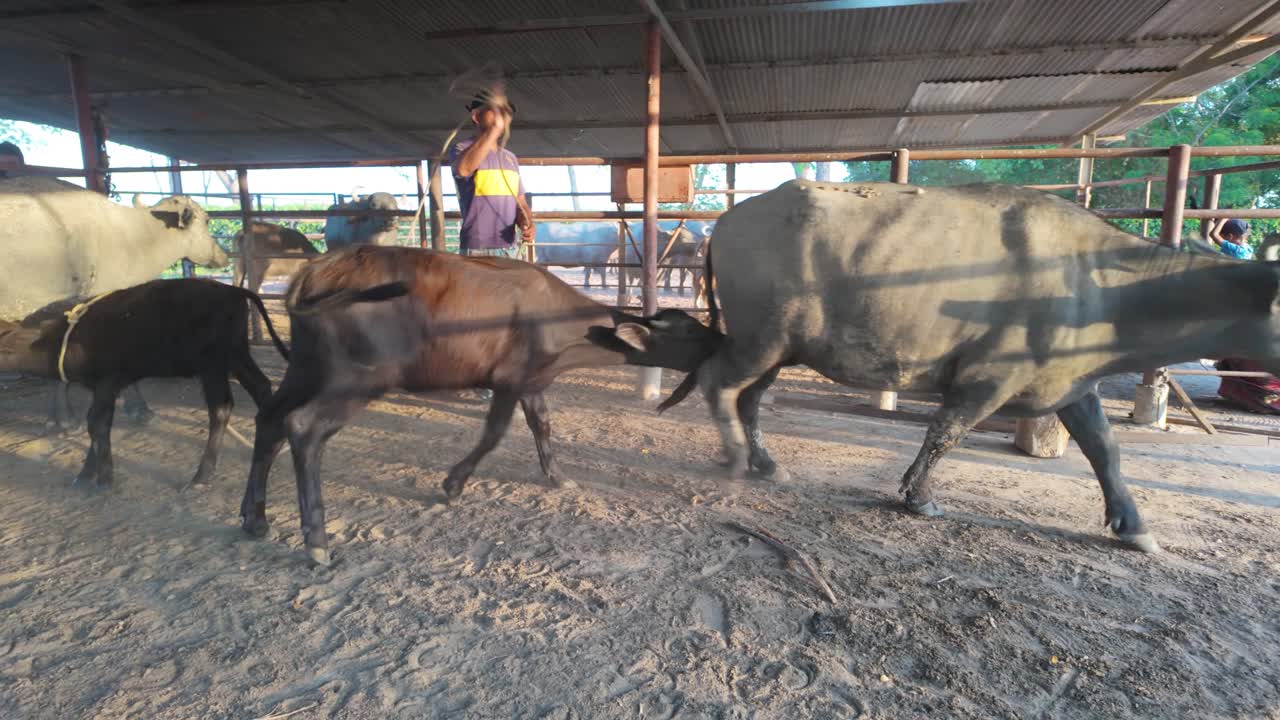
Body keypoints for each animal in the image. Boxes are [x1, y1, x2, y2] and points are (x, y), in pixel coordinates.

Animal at [0, 279, 288, 489]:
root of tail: (233, 290)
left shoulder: (108, 383)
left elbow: (97, 423)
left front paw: (103, 477)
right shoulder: (103, 388)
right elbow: (96, 425)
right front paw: (86, 475)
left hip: (214, 365)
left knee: (221, 408)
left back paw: (201, 476)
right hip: (237, 356)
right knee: (262, 387)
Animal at [237, 245, 720, 566]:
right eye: (693, 334)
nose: (725, 341)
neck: (565, 324)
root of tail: (319, 270)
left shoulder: (531, 380)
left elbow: (542, 425)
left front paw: (558, 477)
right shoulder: (507, 381)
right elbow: (494, 434)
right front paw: (452, 484)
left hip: (305, 368)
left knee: (269, 418)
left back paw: (254, 518)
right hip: (355, 379)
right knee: (303, 428)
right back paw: (316, 540)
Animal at [615, 180, 1280, 553]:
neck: (1102, 284)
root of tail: (728, 220)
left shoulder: (1072, 383)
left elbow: (1106, 451)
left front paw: (1133, 526)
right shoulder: (988, 378)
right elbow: (945, 433)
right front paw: (917, 497)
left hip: (781, 350)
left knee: (747, 398)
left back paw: (765, 463)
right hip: (761, 341)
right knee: (718, 384)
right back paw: (734, 458)